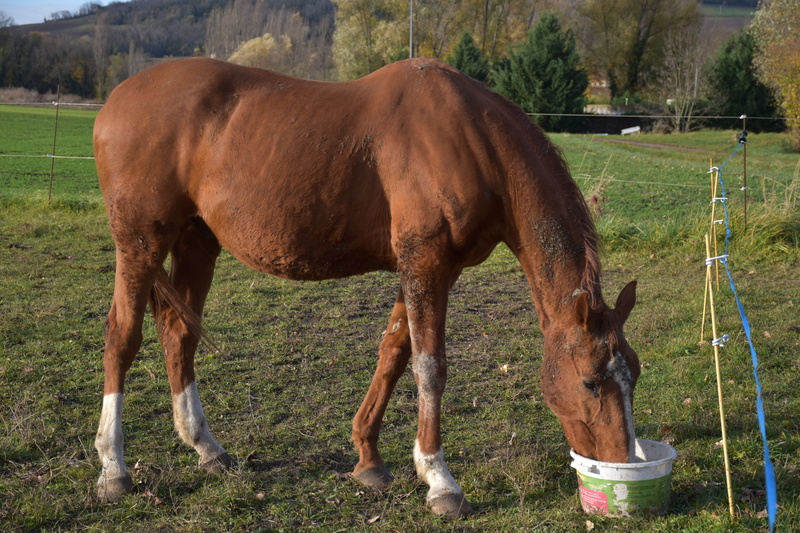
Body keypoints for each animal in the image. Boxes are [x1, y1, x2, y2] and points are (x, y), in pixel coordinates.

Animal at [94, 57, 640, 516]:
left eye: (633, 373)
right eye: (590, 382)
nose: (621, 464)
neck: (472, 136)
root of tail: (116, 100)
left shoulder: (426, 268)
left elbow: (394, 354)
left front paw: (369, 459)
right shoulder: (425, 262)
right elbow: (429, 367)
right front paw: (440, 481)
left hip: (196, 241)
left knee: (178, 335)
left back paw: (206, 447)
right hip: (139, 244)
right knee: (122, 337)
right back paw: (114, 469)